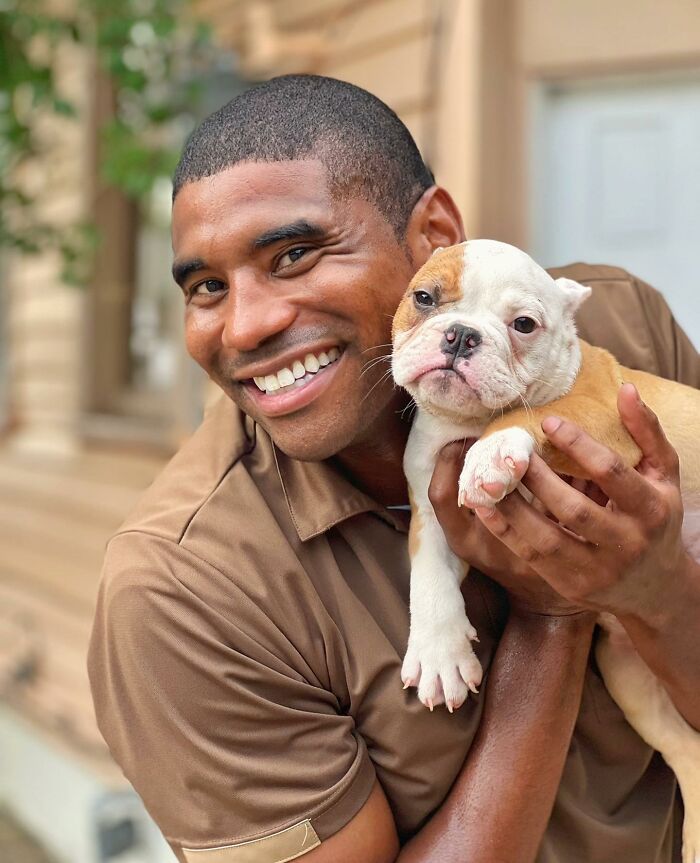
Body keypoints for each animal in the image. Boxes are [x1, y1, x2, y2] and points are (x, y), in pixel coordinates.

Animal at [392, 238, 700, 863]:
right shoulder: (432, 511)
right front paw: (438, 654)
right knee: (688, 750)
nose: (461, 335)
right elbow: (429, 576)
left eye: (524, 325)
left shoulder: (599, 412)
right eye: (424, 298)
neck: (467, 422)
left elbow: (530, 414)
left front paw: (490, 454)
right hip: (632, 679)